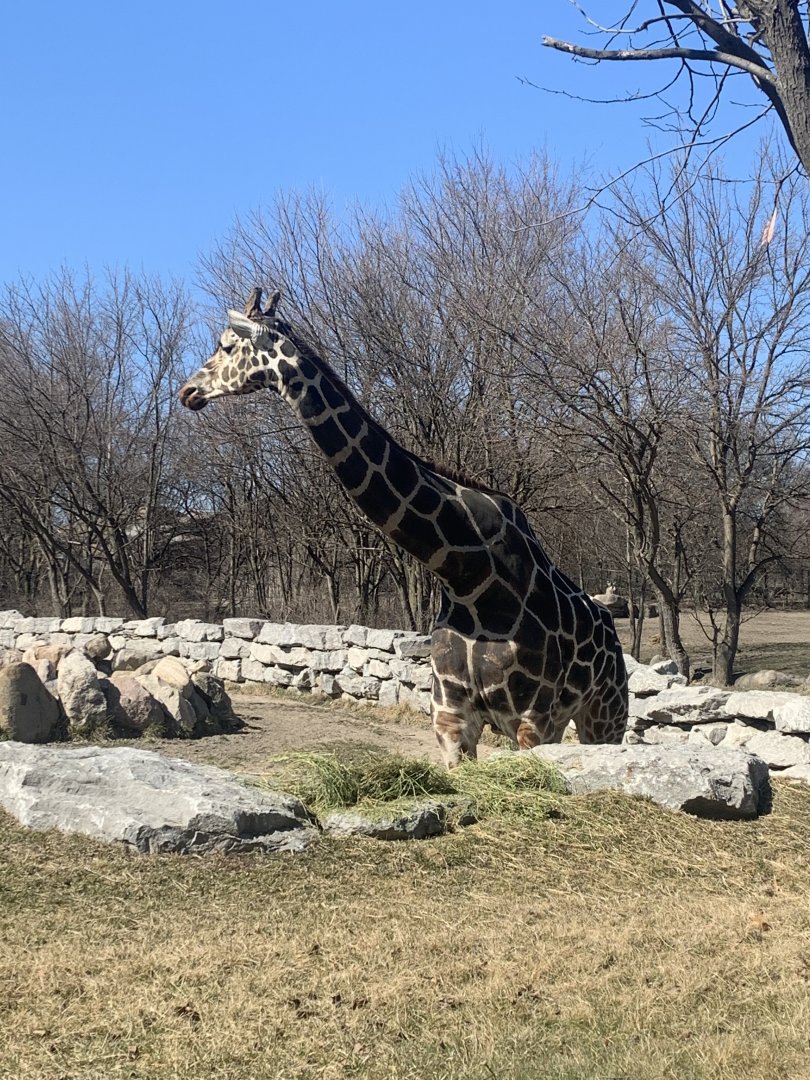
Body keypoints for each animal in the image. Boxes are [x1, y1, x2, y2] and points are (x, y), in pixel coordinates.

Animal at [179, 288, 628, 766]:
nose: (188, 391)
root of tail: (612, 630)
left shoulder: (532, 719)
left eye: (226, 345)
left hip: (604, 714)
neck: (468, 577)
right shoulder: (451, 718)